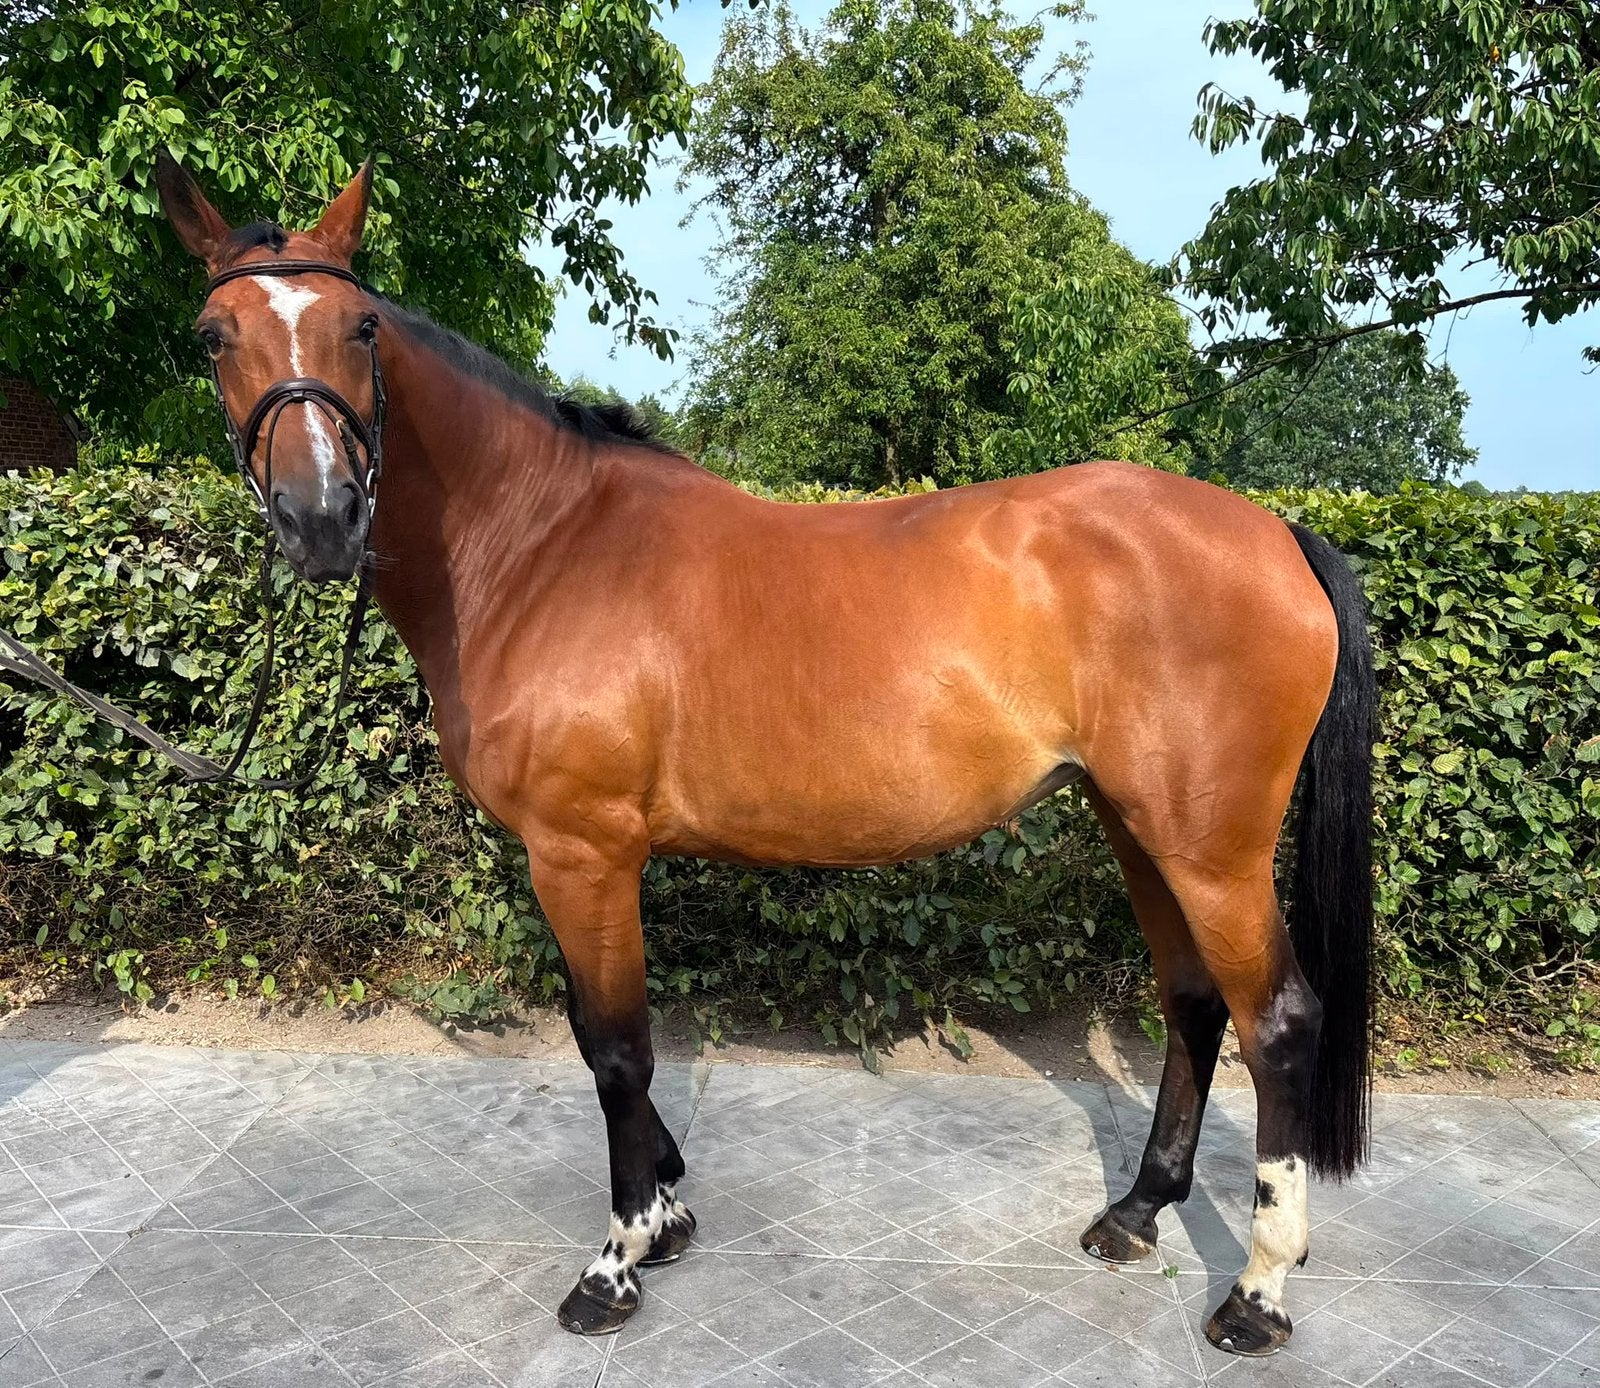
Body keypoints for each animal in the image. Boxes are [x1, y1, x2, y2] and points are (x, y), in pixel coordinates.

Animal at [154, 153, 1376, 1357]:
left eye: (360, 327)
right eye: (213, 336)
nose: (322, 517)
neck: (544, 547)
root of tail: (1275, 531)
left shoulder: (582, 853)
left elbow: (616, 1048)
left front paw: (618, 1258)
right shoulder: (574, 860)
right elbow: (597, 1033)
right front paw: (669, 1205)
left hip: (1210, 846)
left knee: (1278, 1022)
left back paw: (1256, 1291)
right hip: (1140, 826)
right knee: (1193, 1004)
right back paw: (1135, 1211)